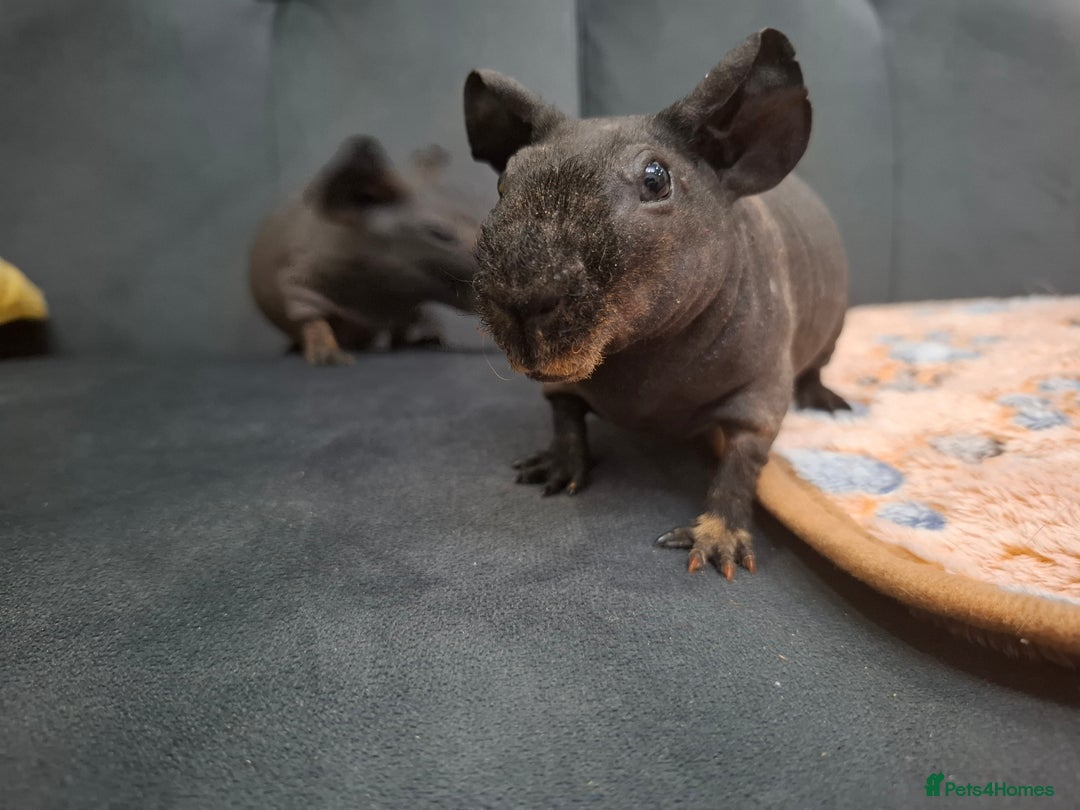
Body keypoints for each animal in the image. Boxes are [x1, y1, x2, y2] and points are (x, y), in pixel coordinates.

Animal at [249, 136, 481, 365]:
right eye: (439, 233)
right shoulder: (298, 282)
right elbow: (311, 319)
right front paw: (326, 352)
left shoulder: (405, 304)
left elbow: (405, 325)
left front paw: (421, 339)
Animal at [463, 29, 850, 580]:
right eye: (503, 182)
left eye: (655, 179)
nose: (520, 301)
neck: (641, 352)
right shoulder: (560, 379)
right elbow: (564, 413)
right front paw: (559, 464)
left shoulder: (760, 388)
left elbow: (741, 464)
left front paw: (718, 537)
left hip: (831, 333)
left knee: (816, 368)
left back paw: (823, 398)